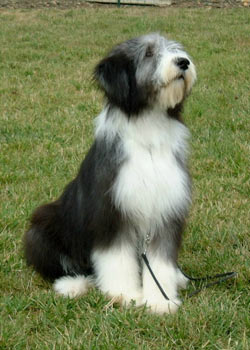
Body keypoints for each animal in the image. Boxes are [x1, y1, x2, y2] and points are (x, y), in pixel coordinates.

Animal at [23, 33, 195, 314]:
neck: (148, 133)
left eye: (174, 48)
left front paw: (160, 301)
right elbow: (117, 257)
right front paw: (126, 295)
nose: (183, 62)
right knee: (65, 268)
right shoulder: (111, 211)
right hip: (41, 229)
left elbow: (160, 260)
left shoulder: (165, 211)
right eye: (148, 53)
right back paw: (72, 285)